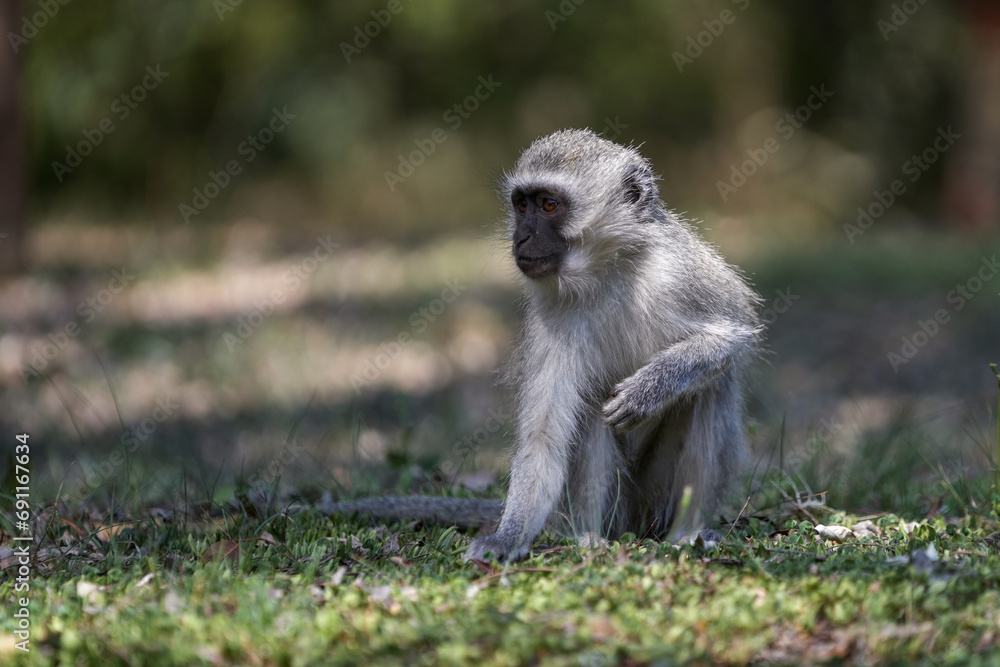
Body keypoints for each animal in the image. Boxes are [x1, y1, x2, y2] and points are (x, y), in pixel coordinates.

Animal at [327, 128, 761, 564]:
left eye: (549, 205)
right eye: (522, 205)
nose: (520, 236)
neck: (606, 272)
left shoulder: (681, 271)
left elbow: (733, 332)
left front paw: (650, 388)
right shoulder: (550, 316)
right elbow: (544, 438)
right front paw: (508, 538)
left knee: (710, 389)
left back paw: (686, 533)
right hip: (622, 507)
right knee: (590, 408)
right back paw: (588, 536)